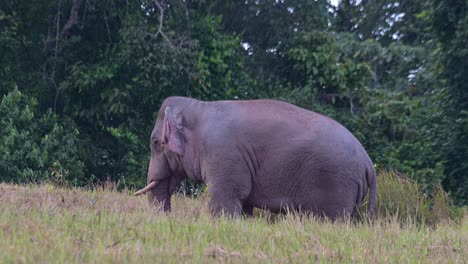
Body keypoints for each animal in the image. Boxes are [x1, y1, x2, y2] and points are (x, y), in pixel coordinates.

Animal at [135, 96, 376, 219]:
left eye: (156, 143)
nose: (168, 219)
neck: (200, 107)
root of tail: (368, 164)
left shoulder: (223, 154)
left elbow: (226, 197)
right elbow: (245, 203)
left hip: (336, 184)